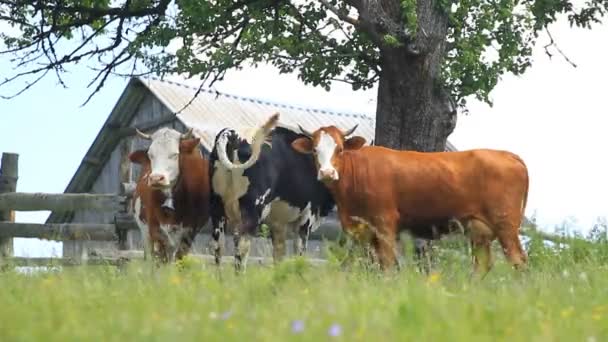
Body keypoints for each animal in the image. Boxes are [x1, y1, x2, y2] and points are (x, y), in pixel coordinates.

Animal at [127, 127, 210, 264]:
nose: (156, 178)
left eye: (174, 154)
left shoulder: (188, 233)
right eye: (151, 155)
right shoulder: (155, 230)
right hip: (145, 231)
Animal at [210, 113, 334, 272]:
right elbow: (299, 253)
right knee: (242, 243)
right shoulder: (306, 218)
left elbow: (279, 255)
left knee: (218, 244)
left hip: (217, 205)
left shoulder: (278, 224)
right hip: (253, 209)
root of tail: (233, 133)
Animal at [292, 125, 528, 278]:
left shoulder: (385, 224)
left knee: (518, 261)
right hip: (479, 230)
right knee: (483, 265)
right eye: (315, 150)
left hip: (506, 225)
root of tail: (509, 155)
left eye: (340, 149)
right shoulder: (363, 230)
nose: (327, 173)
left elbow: (387, 263)